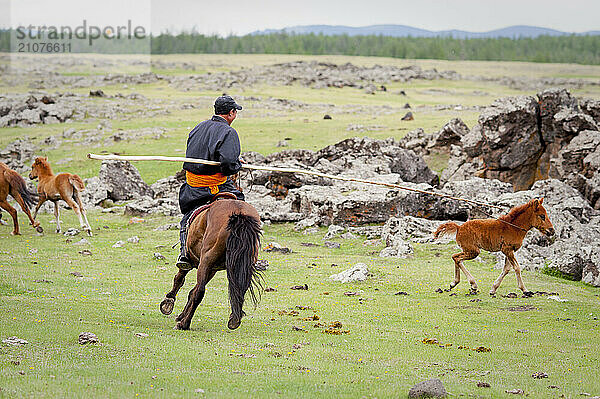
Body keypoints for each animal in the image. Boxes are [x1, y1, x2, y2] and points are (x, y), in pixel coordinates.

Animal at [159, 200, 262, 332]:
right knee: (239, 289)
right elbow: (191, 290)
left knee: (199, 292)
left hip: (205, 262)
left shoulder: (197, 263)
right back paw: (234, 320)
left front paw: (168, 302)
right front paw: (181, 314)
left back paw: (184, 324)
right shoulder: (212, 269)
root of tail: (239, 213)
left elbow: (180, 279)